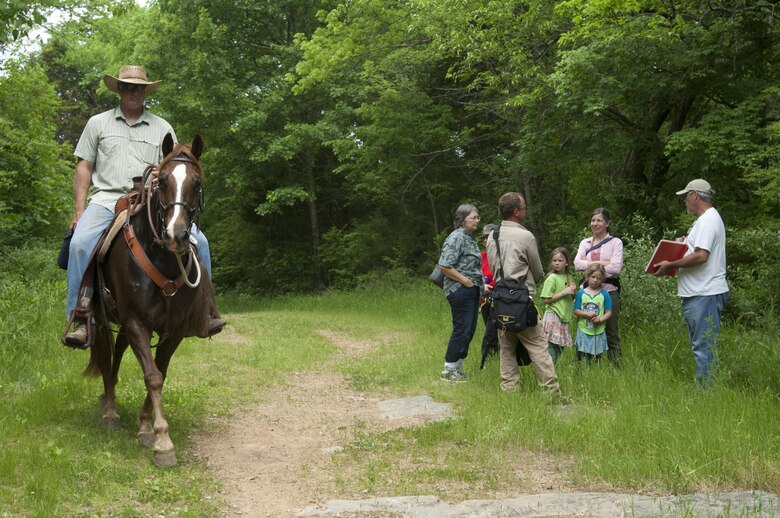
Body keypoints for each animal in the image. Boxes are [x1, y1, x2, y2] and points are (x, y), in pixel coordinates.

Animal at [85, 134, 216, 468]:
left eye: (197, 183)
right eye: (163, 181)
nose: (176, 235)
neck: (163, 260)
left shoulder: (174, 330)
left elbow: (160, 372)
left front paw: (145, 426)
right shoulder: (136, 322)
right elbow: (153, 376)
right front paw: (162, 442)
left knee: (117, 354)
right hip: (103, 320)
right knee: (105, 357)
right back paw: (109, 410)